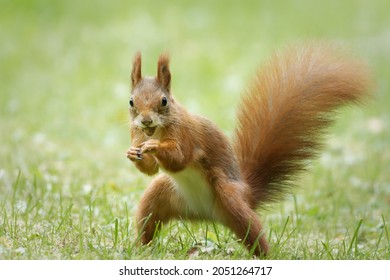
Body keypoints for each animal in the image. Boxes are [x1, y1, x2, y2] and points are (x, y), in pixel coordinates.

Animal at [127, 43, 372, 256]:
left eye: (164, 101)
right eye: (131, 102)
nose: (146, 121)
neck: (157, 130)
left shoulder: (187, 136)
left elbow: (179, 158)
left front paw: (155, 147)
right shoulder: (137, 134)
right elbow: (150, 169)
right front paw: (134, 154)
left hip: (229, 197)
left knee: (251, 230)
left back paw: (263, 255)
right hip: (160, 196)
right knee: (149, 219)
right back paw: (141, 248)